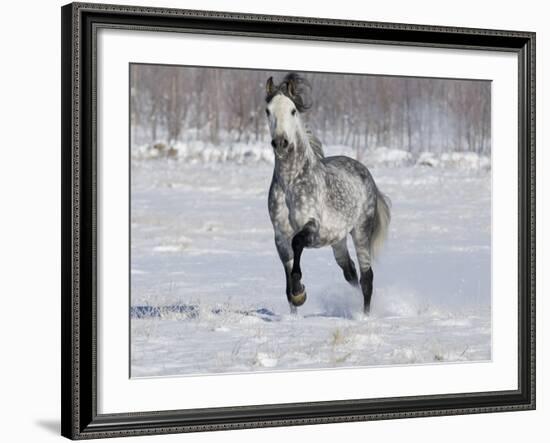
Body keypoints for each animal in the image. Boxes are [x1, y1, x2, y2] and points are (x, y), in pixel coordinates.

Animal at [268, 73, 392, 316]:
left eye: (293, 110)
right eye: (268, 110)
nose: (280, 143)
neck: (290, 183)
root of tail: (366, 173)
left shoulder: (312, 227)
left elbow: (297, 244)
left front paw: (299, 292)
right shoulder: (280, 236)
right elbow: (287, 274)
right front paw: (295, 303)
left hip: (360, 232)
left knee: (366, 277)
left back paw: (364, 316)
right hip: (338, 241)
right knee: (350, 272)